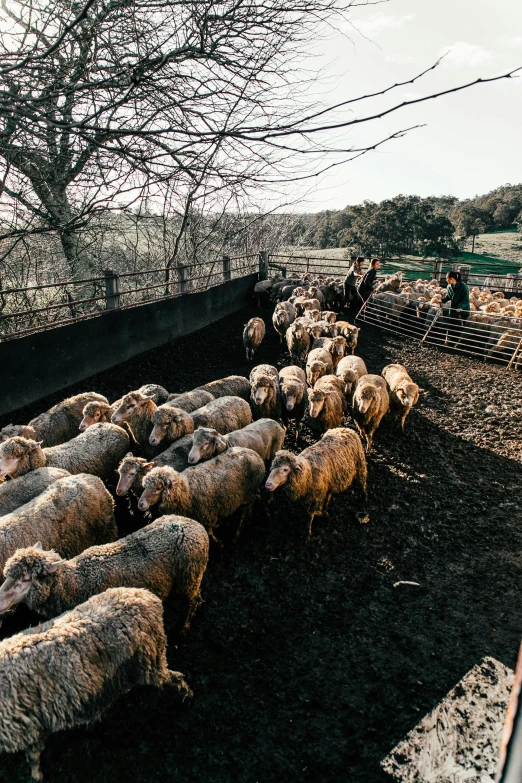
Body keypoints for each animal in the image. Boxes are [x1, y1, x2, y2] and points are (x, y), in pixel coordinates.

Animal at [2, 516, 209, 632]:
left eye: (26, 579)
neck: (73, 581)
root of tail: (196, 526)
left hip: (189, 578)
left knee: (192, 601)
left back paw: (183, 627)